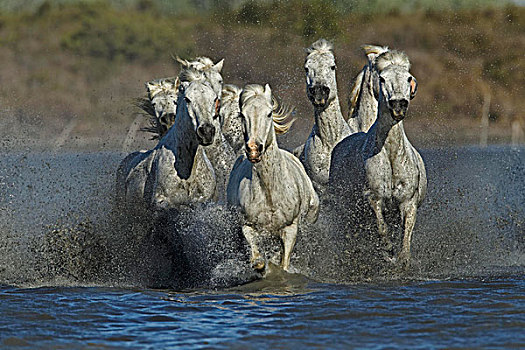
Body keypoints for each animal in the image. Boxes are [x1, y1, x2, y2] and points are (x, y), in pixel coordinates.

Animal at [226, 83, 320, 272]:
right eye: (242, 115)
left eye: (269, 113)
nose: (254, 149)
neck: (270, 192)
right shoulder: (247, 226)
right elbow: (256, 256)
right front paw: (260, 265)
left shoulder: (290, 229)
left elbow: (284, 263)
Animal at [332, 50, 426, 266]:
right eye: (382, 78)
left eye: (408, 77)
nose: (398, 105)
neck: (391, 157)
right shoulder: (373, 197)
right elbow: (381, 228)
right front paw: (388, 250)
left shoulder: (408, 202)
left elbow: (406, 238)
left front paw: (402, 259)